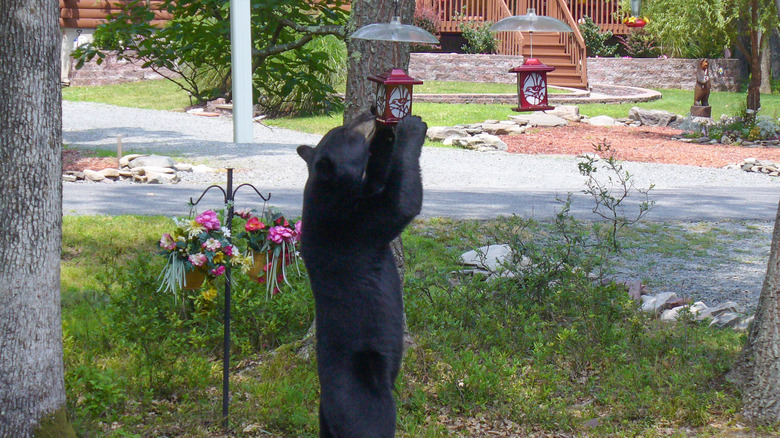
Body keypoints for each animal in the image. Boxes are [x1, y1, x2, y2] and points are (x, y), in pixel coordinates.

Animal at [298, 111, 426, 436]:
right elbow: (399, 202)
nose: (368, 113)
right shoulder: (350, 225)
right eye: (347, 132)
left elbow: (379, 182)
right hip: (364, 391)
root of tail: (330, 407)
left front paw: (387, 136)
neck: (328, 190)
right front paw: (410, 128)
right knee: (374, 419)